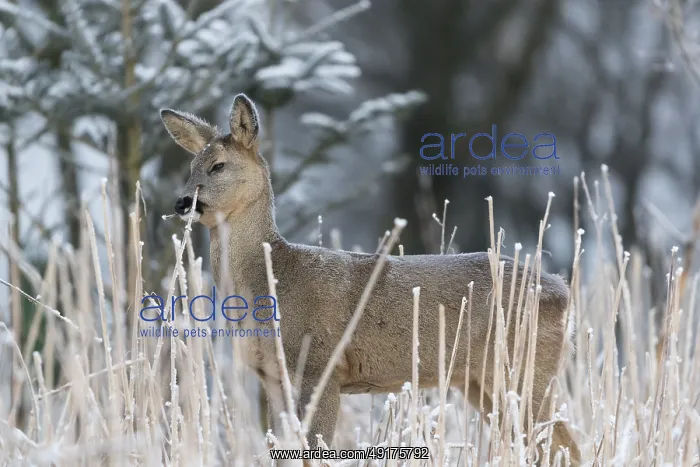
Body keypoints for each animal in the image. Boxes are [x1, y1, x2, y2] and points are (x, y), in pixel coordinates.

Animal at [160, 93, 582, 465]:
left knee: (564, 444)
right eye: (191, 166)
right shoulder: (273, 377)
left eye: (218, 165)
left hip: (526, 367)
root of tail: (564, 294)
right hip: (482, 380)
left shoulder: (321, 365)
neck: (273, 277)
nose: (182, 202)